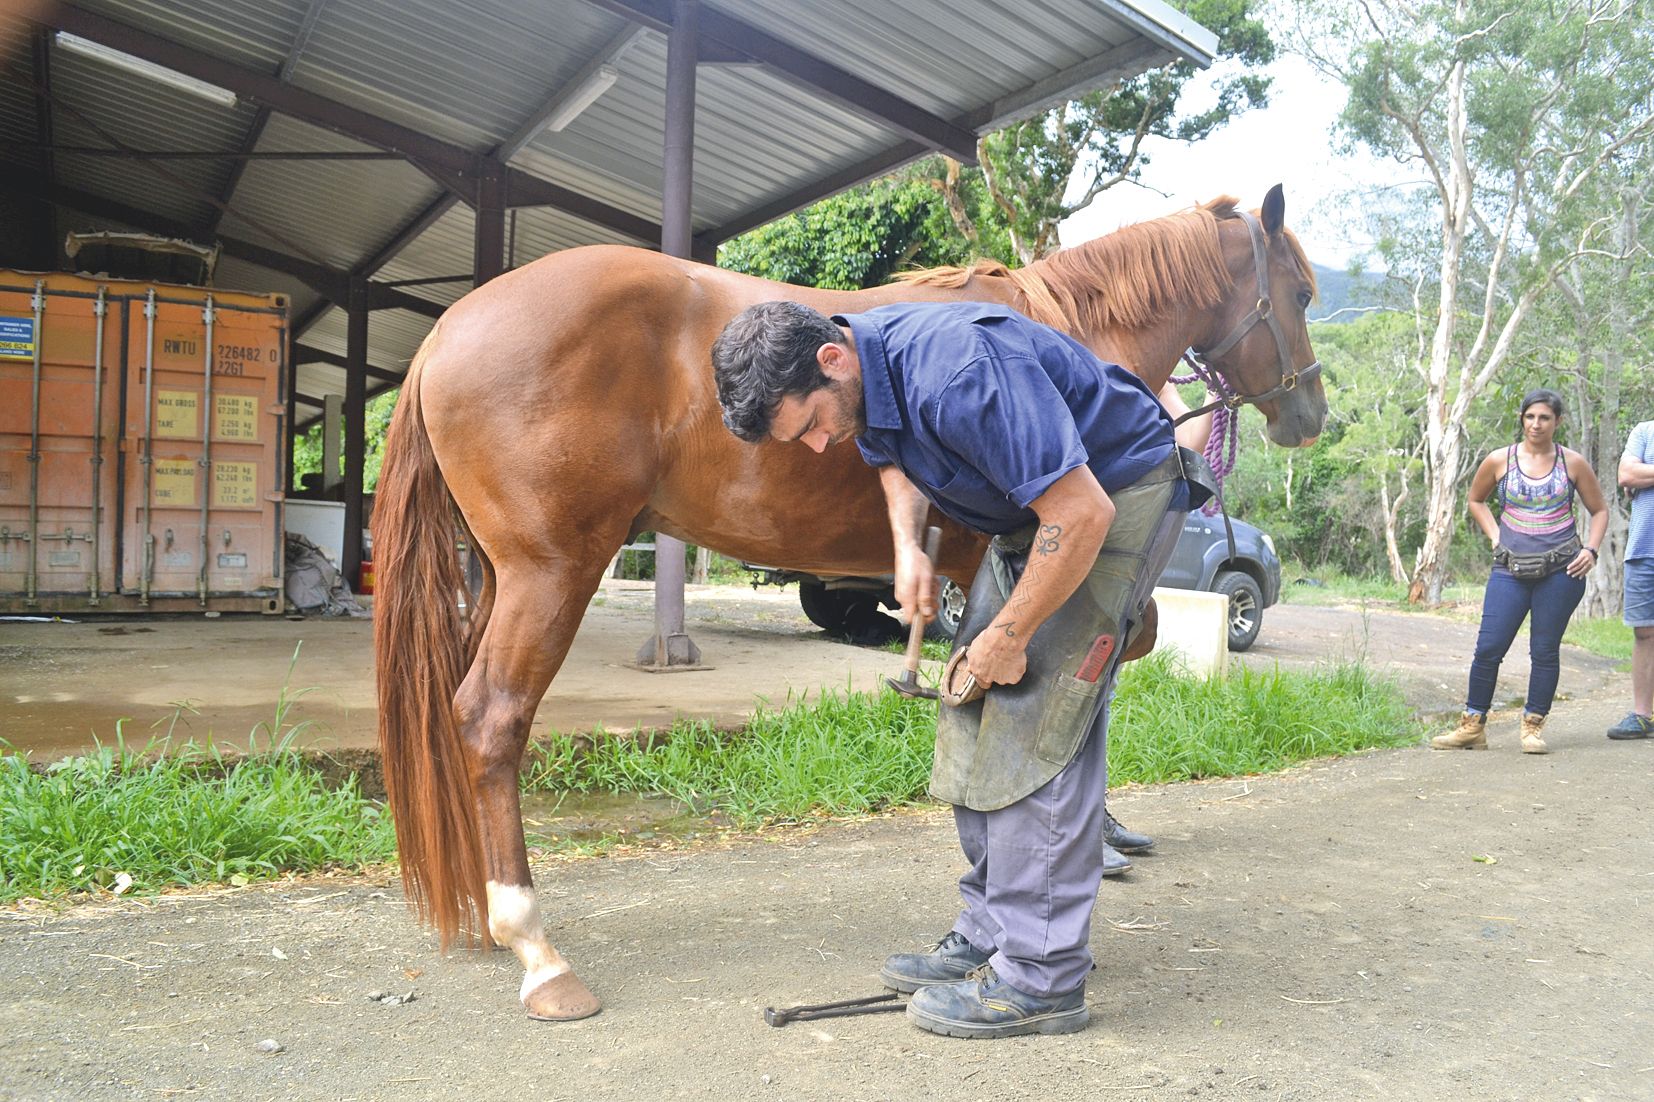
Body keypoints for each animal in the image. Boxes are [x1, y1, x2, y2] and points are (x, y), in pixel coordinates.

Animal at [368, 184, 1323, 1019]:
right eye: (1304, 292)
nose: (1312, 414)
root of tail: (451, 329)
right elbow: (1103, 674)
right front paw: (1101, 839)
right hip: (549, 574)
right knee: (489, 720)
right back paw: (536, 949)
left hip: (501, 578)